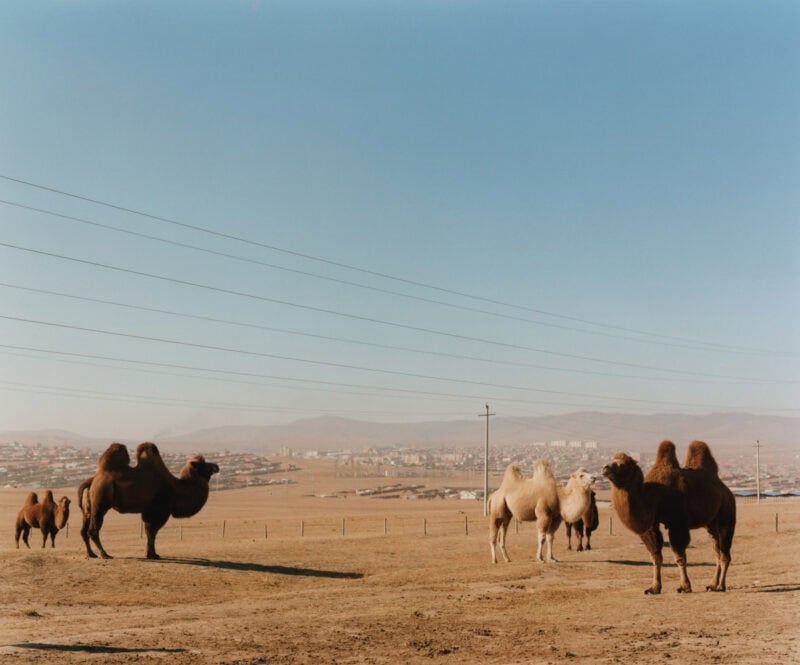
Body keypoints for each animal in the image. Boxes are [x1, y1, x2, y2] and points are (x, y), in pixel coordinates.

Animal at [78, 444, 219, 556]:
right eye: (203, 464)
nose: (216, 466)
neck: (177, 489)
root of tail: (92, 480)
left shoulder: (148, 511)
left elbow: (148, 532)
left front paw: (151, 553)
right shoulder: (159, 510)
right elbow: (152, 532)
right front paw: (152, 554)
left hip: (89, 507)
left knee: (84, 530)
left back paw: (91, 554)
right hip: (100, 502)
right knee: (93, 530)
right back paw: (104, 554)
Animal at [648, 440, 736, 592]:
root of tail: (728, 491)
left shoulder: (678, 522)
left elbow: (679, 556)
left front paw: (684, 586)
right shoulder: (653, 522)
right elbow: (656, 555)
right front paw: (654, 588)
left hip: (726, 514)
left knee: (724, 552)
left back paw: (721, 586)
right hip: (711, 525)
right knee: (717, 550)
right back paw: (712, 584)